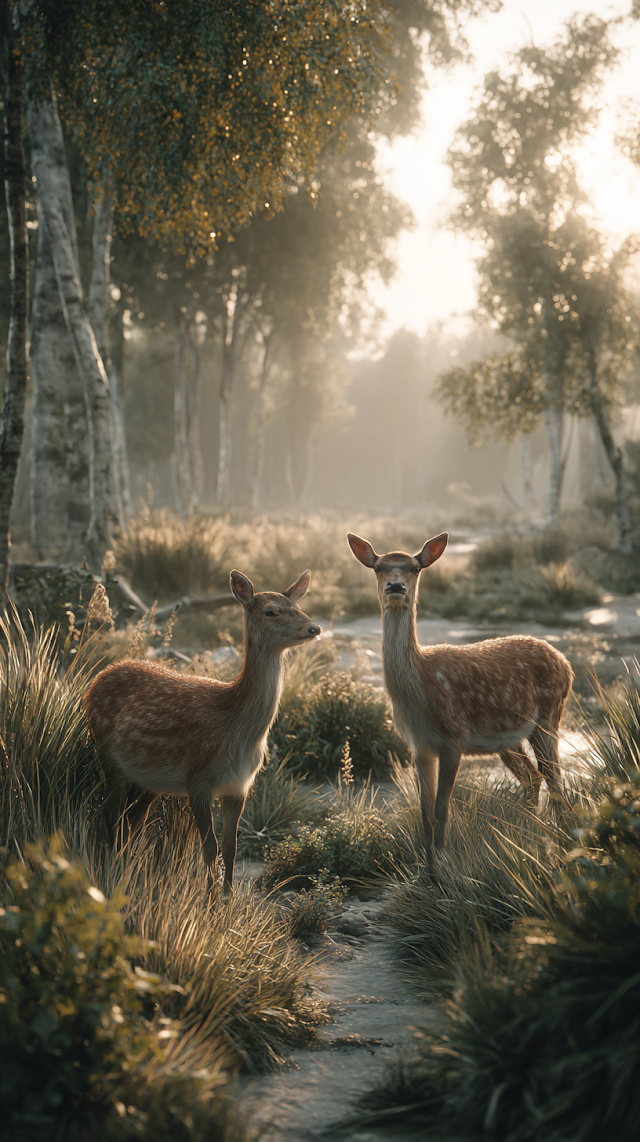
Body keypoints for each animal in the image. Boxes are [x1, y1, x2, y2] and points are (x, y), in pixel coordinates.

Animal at [84, 569, 321, 893]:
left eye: (297, 606)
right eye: (271, 611)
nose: (314, 627)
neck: (237, 728)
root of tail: (96, 679)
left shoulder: (240, 785)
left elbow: (230, 847)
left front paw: (228, 899)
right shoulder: (197, 779)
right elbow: (209, 847)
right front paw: (209, 899)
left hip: (147, 781)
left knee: (130, 823)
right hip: (107, 756)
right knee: (111, 819)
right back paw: (111, 876)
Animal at [347, 531, 574, 851]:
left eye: (415, 568)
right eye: (378, 568)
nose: (396, 585)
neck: (421, 690)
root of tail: (565, 662)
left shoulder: (453, 737)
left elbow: (442, 809)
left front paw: (443, 860)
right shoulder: (418, 745)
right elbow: (425, 812)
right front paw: (427, 861)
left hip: (549, 716)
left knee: (554, 777)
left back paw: (564, 839)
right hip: (508, 737)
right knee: (532, 777)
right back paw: (526, 831)